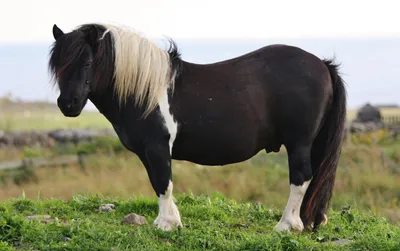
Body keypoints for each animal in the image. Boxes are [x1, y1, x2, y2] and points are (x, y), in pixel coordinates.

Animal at [47, 23, 346, 233]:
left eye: (87, 62)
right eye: (57, 66)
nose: (68, 104)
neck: (145, 90)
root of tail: (322, 65)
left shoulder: (157, 147)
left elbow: (163, 182)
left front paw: (166, 224)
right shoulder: (147, 152)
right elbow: (158, 183)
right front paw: (170, 221)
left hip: (299, 143)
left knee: (300, 178)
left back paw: (287, 225)